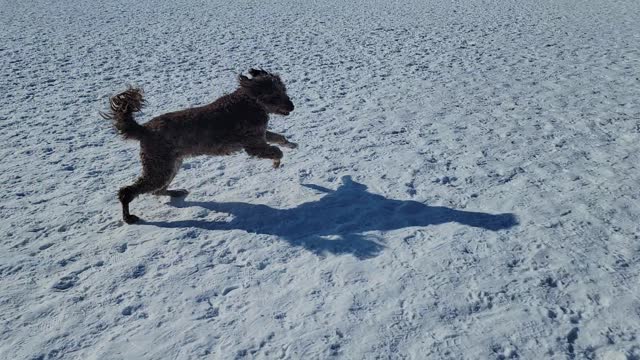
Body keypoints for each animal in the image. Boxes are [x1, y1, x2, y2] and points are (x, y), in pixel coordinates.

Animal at [102, 69, 298, 224]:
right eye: (274, 96)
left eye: (284, 90)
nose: (292, 106)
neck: (250, 101)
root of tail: (144, 129)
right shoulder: (253, 144)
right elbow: (276, 151)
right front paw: (276, 162)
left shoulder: (260, 135)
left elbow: (279, 138)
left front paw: (292, 144)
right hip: (159, 167)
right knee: (128, 191)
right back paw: (128, 218)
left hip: (170, 165)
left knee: (157, 190)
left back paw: (176, 192)